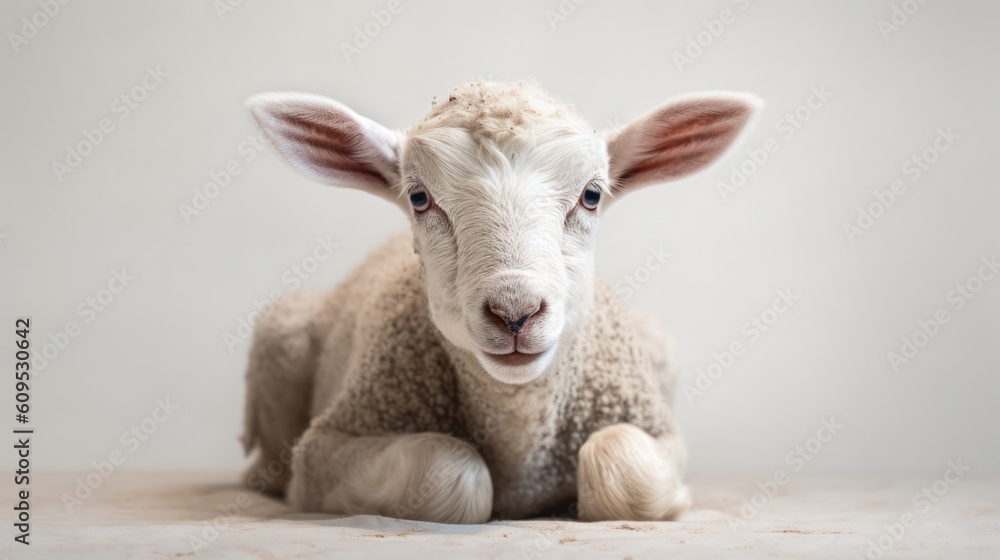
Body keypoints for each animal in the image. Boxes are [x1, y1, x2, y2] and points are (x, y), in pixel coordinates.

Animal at [241, 81, 760, 523]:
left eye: (592, 195)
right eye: (419, 197)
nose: (515, 313)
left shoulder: (658, 432)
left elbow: (623, 466)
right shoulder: (322, 452)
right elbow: (449, 469)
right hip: (280, 334)